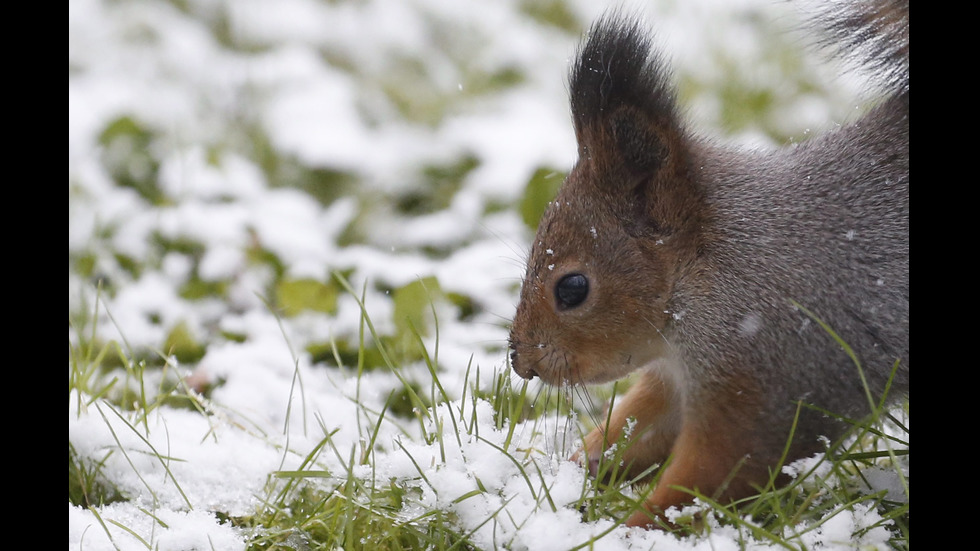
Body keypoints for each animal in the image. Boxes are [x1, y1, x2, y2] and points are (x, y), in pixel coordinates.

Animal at [510, 0, 908, 532]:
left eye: (572, 288)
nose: (521, 363)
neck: (709, 267)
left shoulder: (773, 371)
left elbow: (717, 473)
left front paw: (636, 530)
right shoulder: (678, 375)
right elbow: (635, 428)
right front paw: (571, 475)